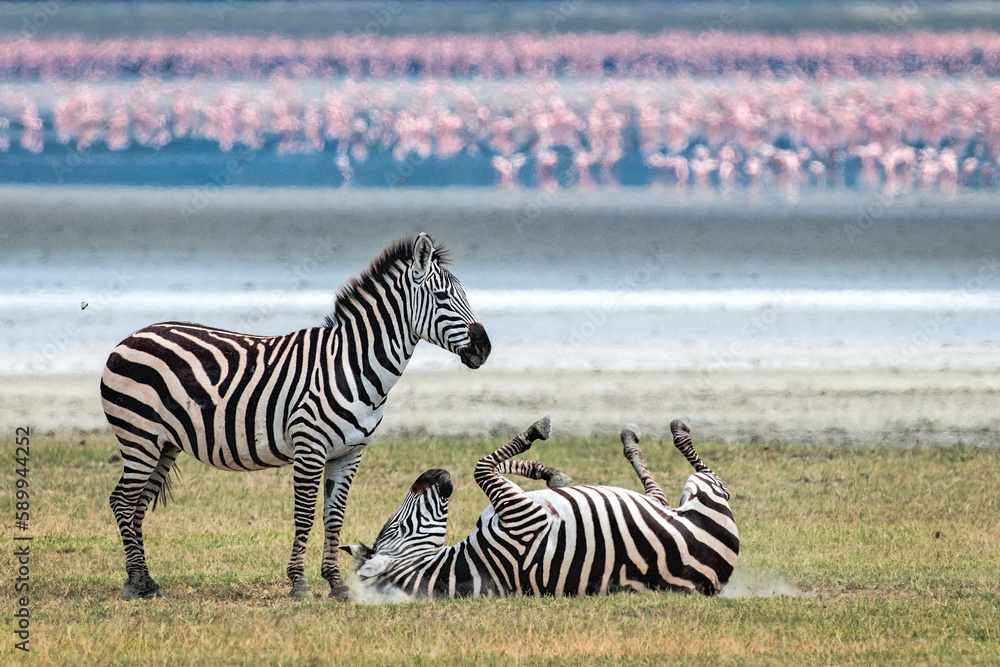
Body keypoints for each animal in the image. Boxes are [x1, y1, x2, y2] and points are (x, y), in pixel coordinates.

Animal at [101, 233, 491, 600]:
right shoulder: (310, 447)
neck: (352, 365)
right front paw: (299, 584)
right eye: (442, 297)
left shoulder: (349, 454)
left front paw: (336, 584)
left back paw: (144, 580)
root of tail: (131, 336)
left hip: (164, 444)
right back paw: (138, 582)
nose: (484, 348)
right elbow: (304, 515)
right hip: (139, 437)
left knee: (137, 505)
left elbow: (334, 517)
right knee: (122, 501)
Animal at [343, 416, 738, 598]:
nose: (434, 474)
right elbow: (481, 466)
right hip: (702, 493)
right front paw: (536, 435)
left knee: (656, 493)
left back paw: (631, 442)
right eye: (396, 529)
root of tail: (717, 580)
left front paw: (548, 473)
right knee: (705, 475)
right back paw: (672, 432)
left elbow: (488, 465)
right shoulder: (524, 516)